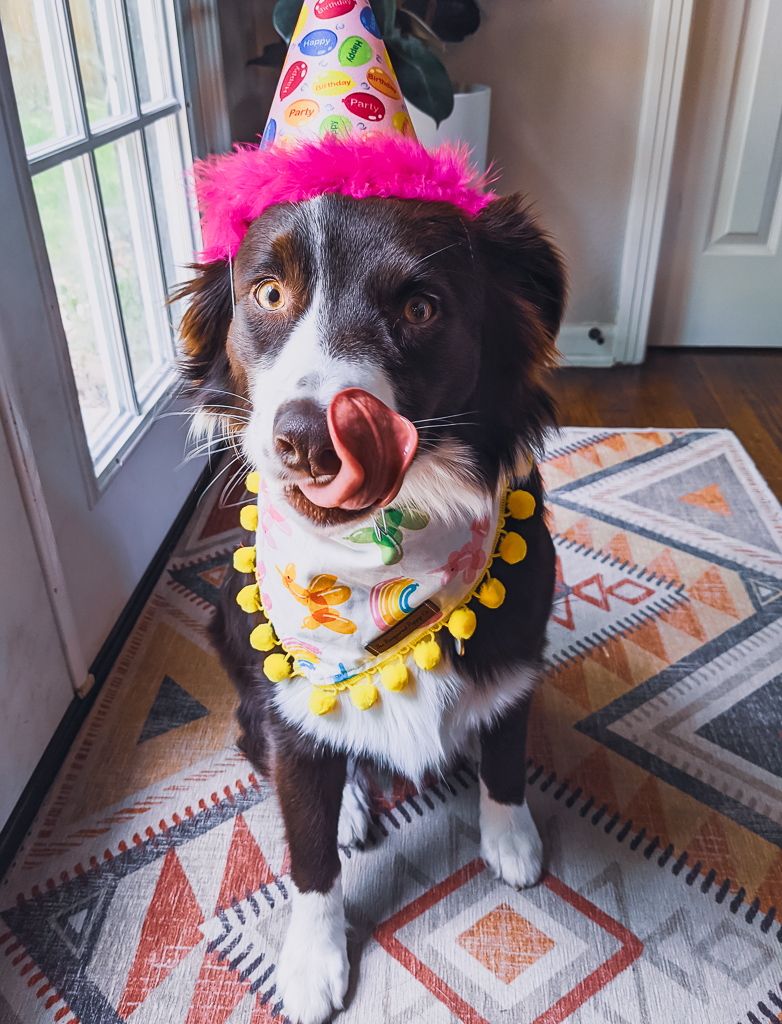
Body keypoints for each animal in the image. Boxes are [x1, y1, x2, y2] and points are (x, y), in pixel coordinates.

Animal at [175, 186, 565, 1024]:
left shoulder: (516, 654)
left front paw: (511, 838)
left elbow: (506, 753)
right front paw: (311, 959)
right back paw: (350, 804)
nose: (309, 440)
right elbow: (309, 852)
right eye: (269, 295)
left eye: (420, 308)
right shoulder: (291, 709)